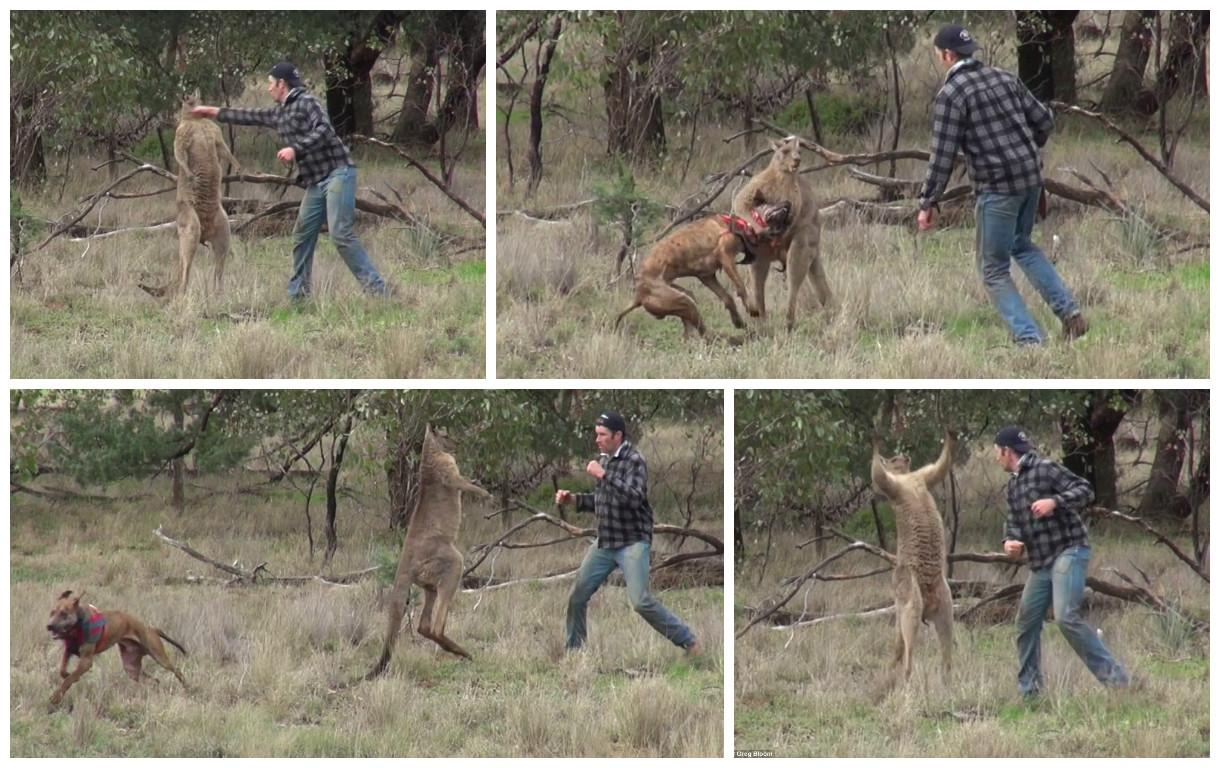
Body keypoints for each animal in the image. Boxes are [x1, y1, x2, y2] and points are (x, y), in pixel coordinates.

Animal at [44, 592, 187, 711]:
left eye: (64, 614)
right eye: (52, 612)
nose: (49, 626)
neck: (76, 627)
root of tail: (151, 629)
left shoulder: (86, 661)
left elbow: (69, 678)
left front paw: (56, 696)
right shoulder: (68, 650)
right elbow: (63, 671)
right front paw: (68, 676)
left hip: (159, 656)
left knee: (177, 671)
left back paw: (187, 688)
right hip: (132, 668)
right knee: (154, 680)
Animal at [614, 201, 794, 338]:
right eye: (769, 203)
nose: (788, 203)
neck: (745, 224)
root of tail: (638, 296)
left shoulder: (707, 276)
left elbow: (727, 298)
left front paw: (738, 321)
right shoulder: (725, 256)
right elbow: (741, 287)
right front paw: (752, 310)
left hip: (685, 299)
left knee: (693, 328)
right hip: (683, 301)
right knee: (704, 332)